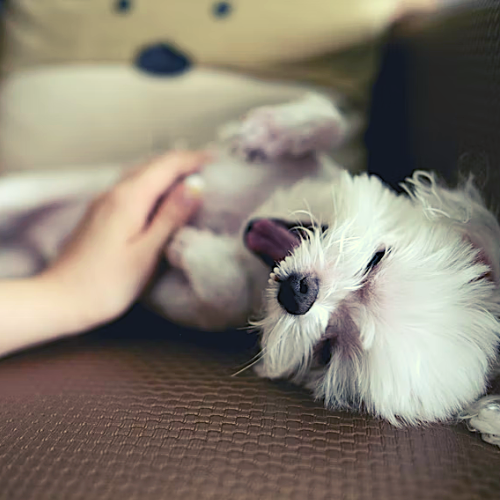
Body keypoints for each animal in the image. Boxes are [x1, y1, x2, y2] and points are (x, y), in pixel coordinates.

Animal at [0, 93, 500, 446]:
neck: (249, 217)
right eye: (376, 262)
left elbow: (218, 293)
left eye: (328, 349)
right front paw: (270, 131)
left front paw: (194, 248)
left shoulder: (189, 303)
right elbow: (331, 121)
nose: (299, 293)